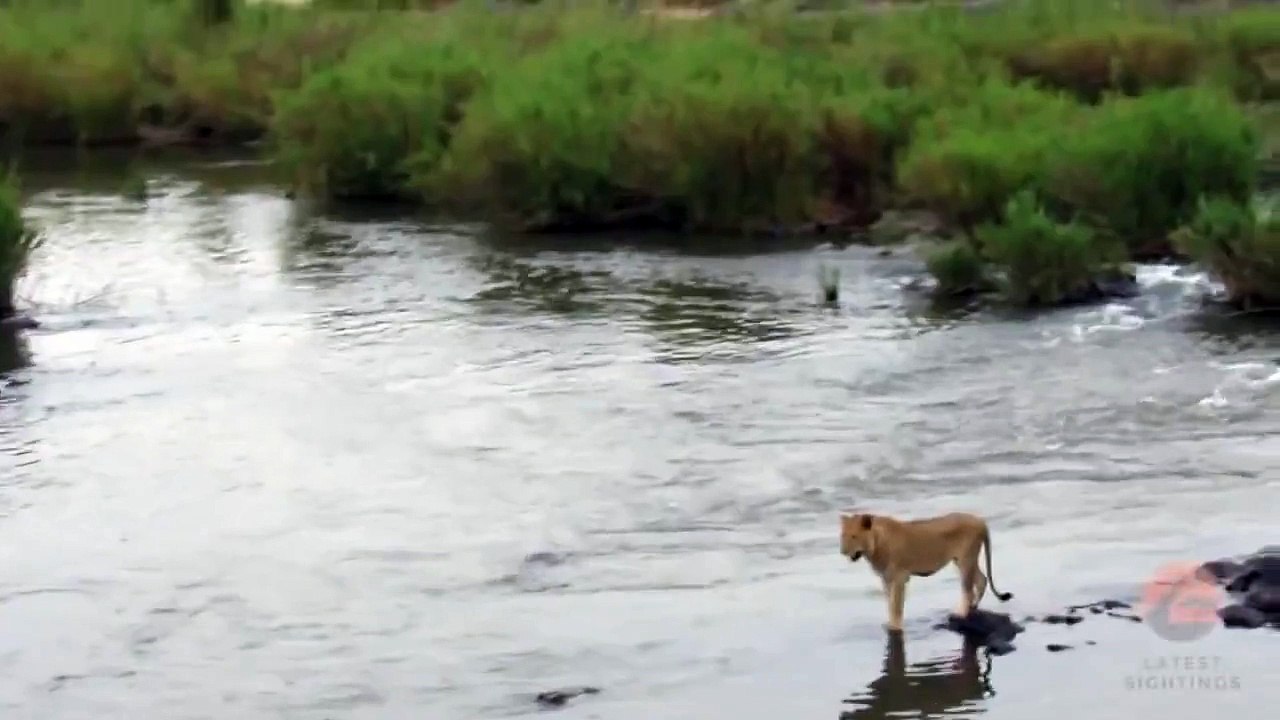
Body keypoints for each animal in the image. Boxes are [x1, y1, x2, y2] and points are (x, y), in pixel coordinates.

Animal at [840, 511, 1014, 632]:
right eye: (843, 536)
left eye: (854, 536)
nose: (842, 551)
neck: (875, 546)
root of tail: (981, 521)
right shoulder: (886, 579)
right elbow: (890, 604)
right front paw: (890, 624)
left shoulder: (899, 578)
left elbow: (896, 606)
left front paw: (896, 628)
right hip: (962, 561)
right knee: (981, 580)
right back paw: (973, 607)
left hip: (966, 559)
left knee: (968, 589)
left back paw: (961, 614)